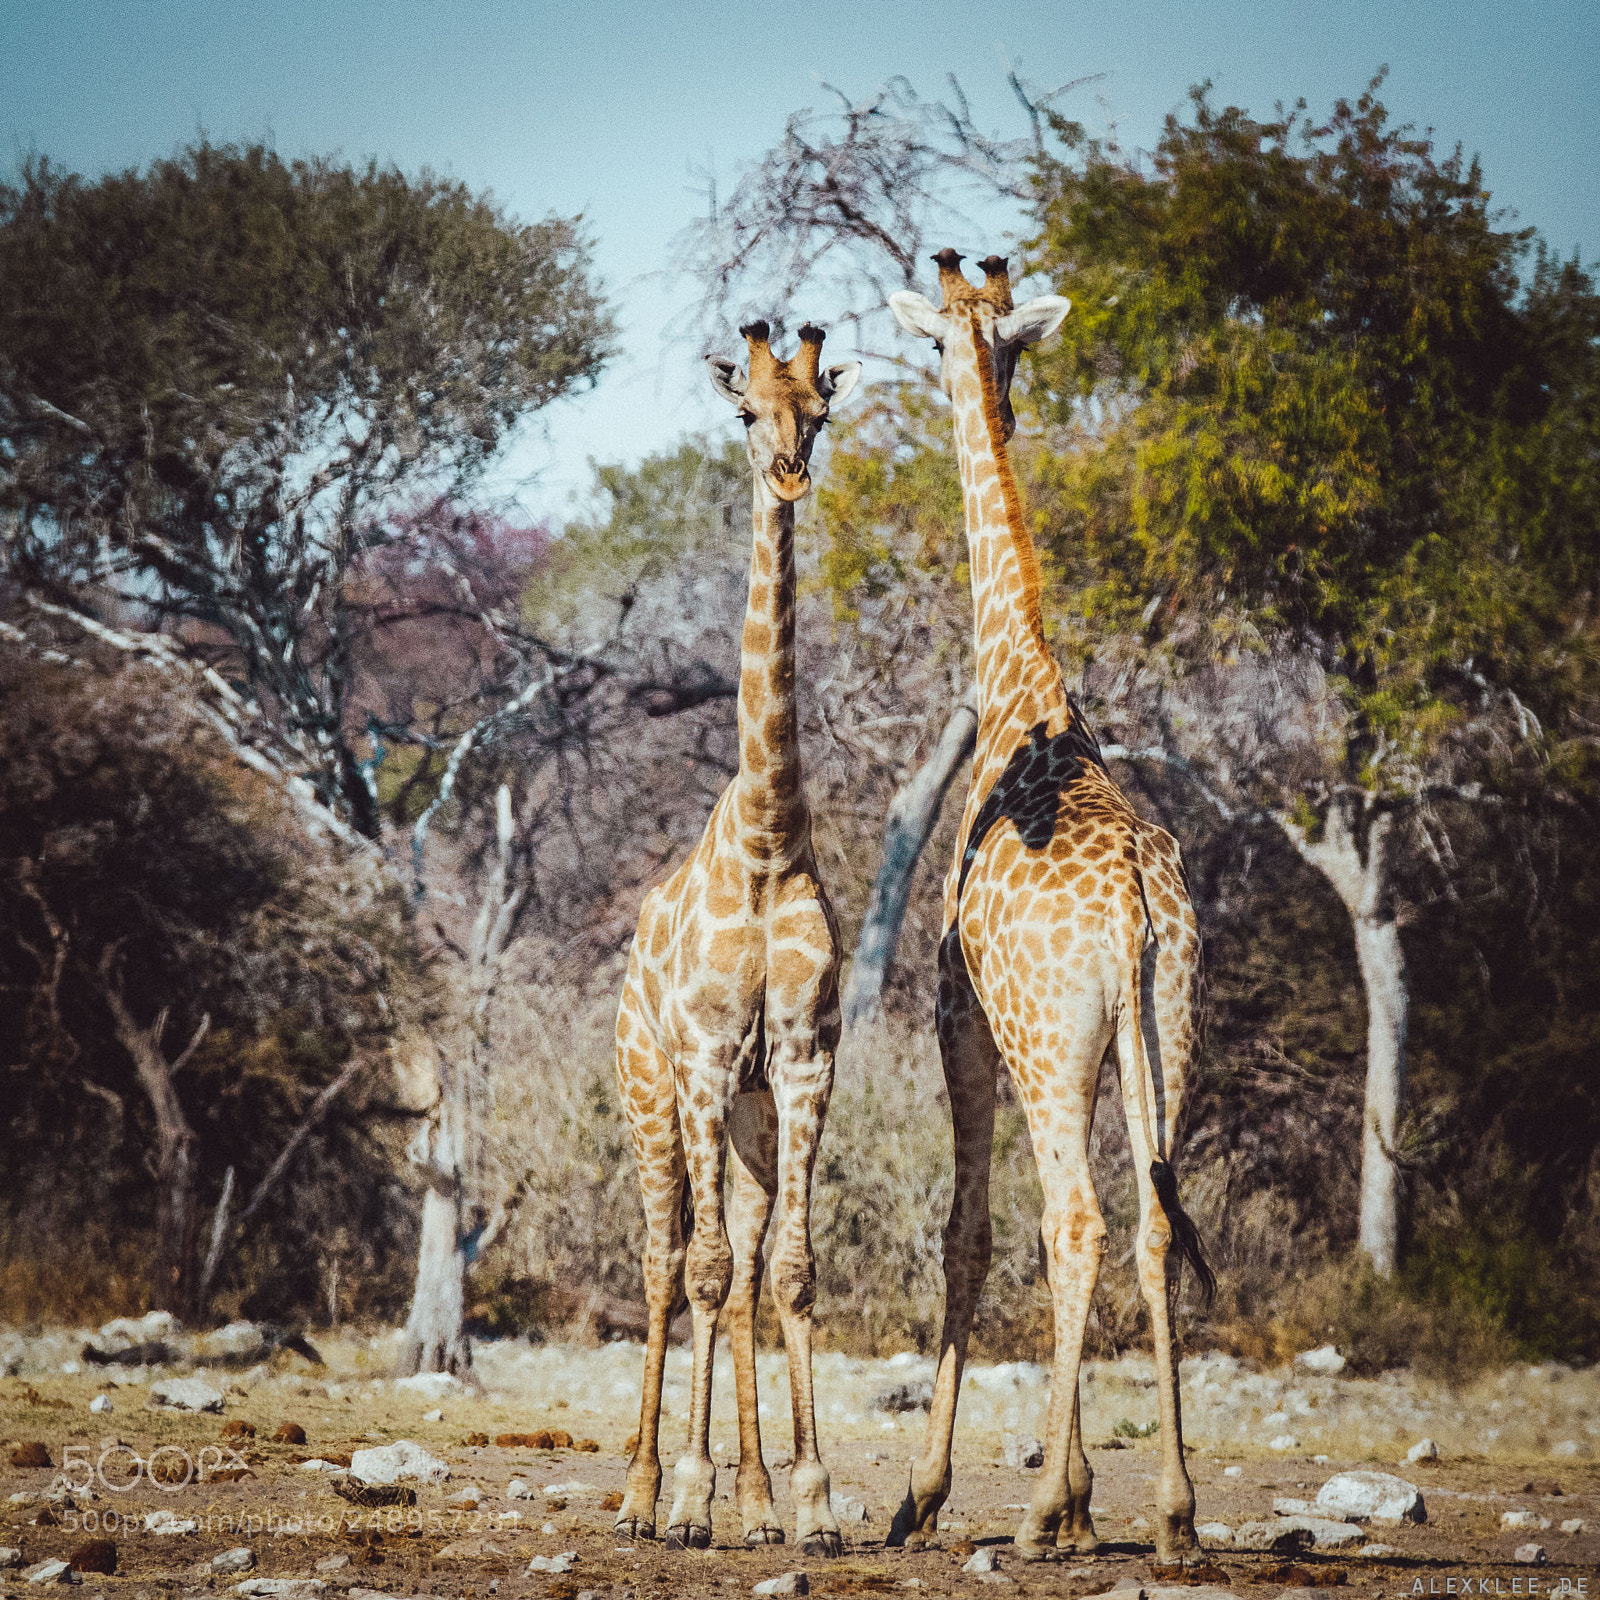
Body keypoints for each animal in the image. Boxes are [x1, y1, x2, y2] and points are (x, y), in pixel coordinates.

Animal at [884, 251, 1214, 1564]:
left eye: (938, 344)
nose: (1002, 402)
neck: (1024, 694)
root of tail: (1130, 906)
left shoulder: (965, 1023)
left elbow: (969, 1231)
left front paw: (933, 1493)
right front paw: (1084, 1502)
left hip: (1048, 1048)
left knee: (1076, 1221)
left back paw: (1024, 1516)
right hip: (1161, 1034)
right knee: (1154, 1222)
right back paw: (1173, 1513)